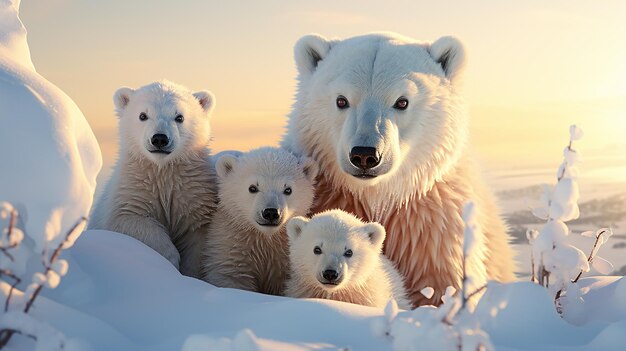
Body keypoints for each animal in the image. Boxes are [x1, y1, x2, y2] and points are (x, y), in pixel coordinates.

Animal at [89, 81, 217, 280]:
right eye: (143, 115)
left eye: (179, 117)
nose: (159, 139)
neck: (161, 170)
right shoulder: (133, 189)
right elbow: (131, 219)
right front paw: (169, 261)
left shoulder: (193, 195)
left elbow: (198, 238)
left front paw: (190, 275)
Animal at [200, 147, 316, 296]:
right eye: (252, 188)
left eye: (288, 189)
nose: (271, 212)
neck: (265, 238)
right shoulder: (232, 247)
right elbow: (232, 275)